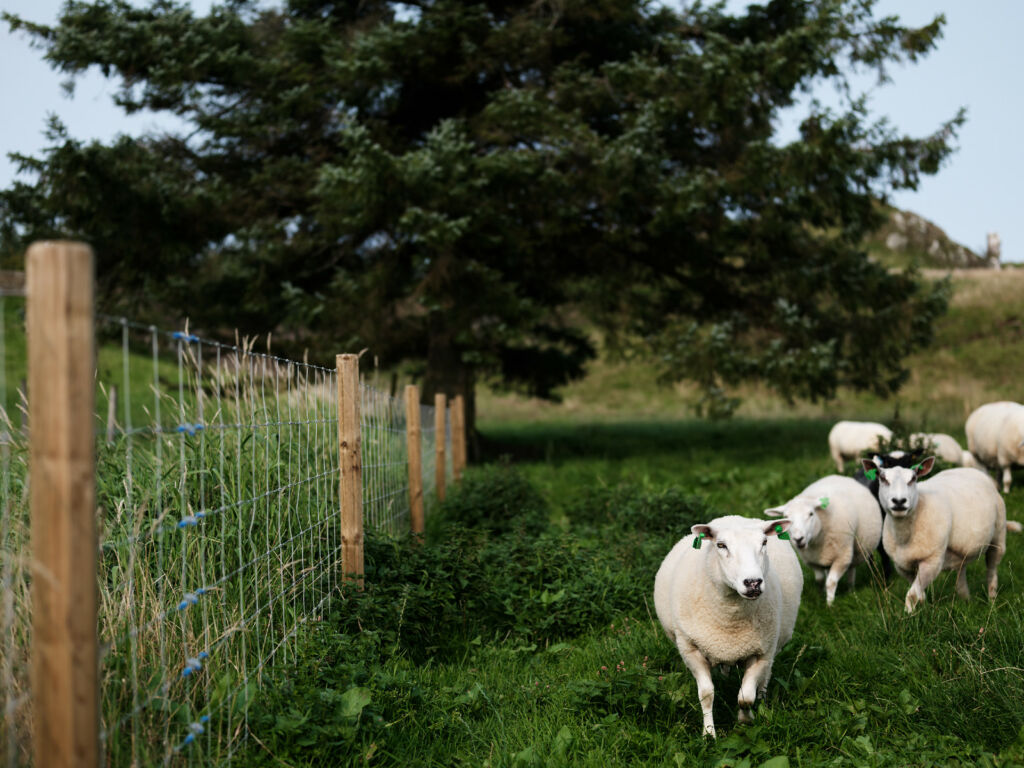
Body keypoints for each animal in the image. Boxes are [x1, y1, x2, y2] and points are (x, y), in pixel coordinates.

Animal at [651, 518, 802, 741]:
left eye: (764, 542)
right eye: (721, 545)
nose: (753, 582)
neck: (731, 622)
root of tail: (734, 517)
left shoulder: (762, 652)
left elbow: (746, 697)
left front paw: (745, 720)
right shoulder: (690, 648)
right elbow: (706, 694)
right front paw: (708, 734)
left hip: (773, 646)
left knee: (765, 678)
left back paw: (763, 701)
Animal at [770, 475, 880, 606]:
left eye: (811, 514)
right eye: (786, 518)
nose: (798, 539)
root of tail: (839, 476)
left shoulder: (842, 557)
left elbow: (831, 582)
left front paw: (829, 605)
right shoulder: (812, 560)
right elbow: (820, 580)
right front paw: (819, 597)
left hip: (854, 552)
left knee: (851, 572)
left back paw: (851, 591)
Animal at [864, 456, 1007, 614]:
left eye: (913, 478)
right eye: (882, 478)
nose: (899, 501)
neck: (905, 535)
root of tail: (969, 469)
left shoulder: (931, 560)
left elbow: (912, 595)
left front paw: (908, 616)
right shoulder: (902, 566)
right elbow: (919, 594)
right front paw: (922, 609)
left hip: (998, 537)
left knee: (992, 570)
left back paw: (992, 600)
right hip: (961, 550)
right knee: (961, 571)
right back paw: (966, 600)